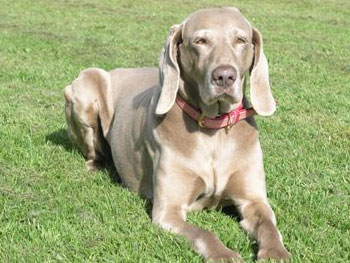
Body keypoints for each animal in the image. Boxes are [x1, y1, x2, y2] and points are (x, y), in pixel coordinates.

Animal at [63, 7, 290, 262]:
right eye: (200, 41)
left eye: (241, 40)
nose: (224, 76)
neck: (214, 131)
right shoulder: (168, 212)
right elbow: (205, 233)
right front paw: (224, 255)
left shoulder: (254, 200)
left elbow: (268, 224)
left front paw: (276, 252)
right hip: (86, 86)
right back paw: (98, 165)